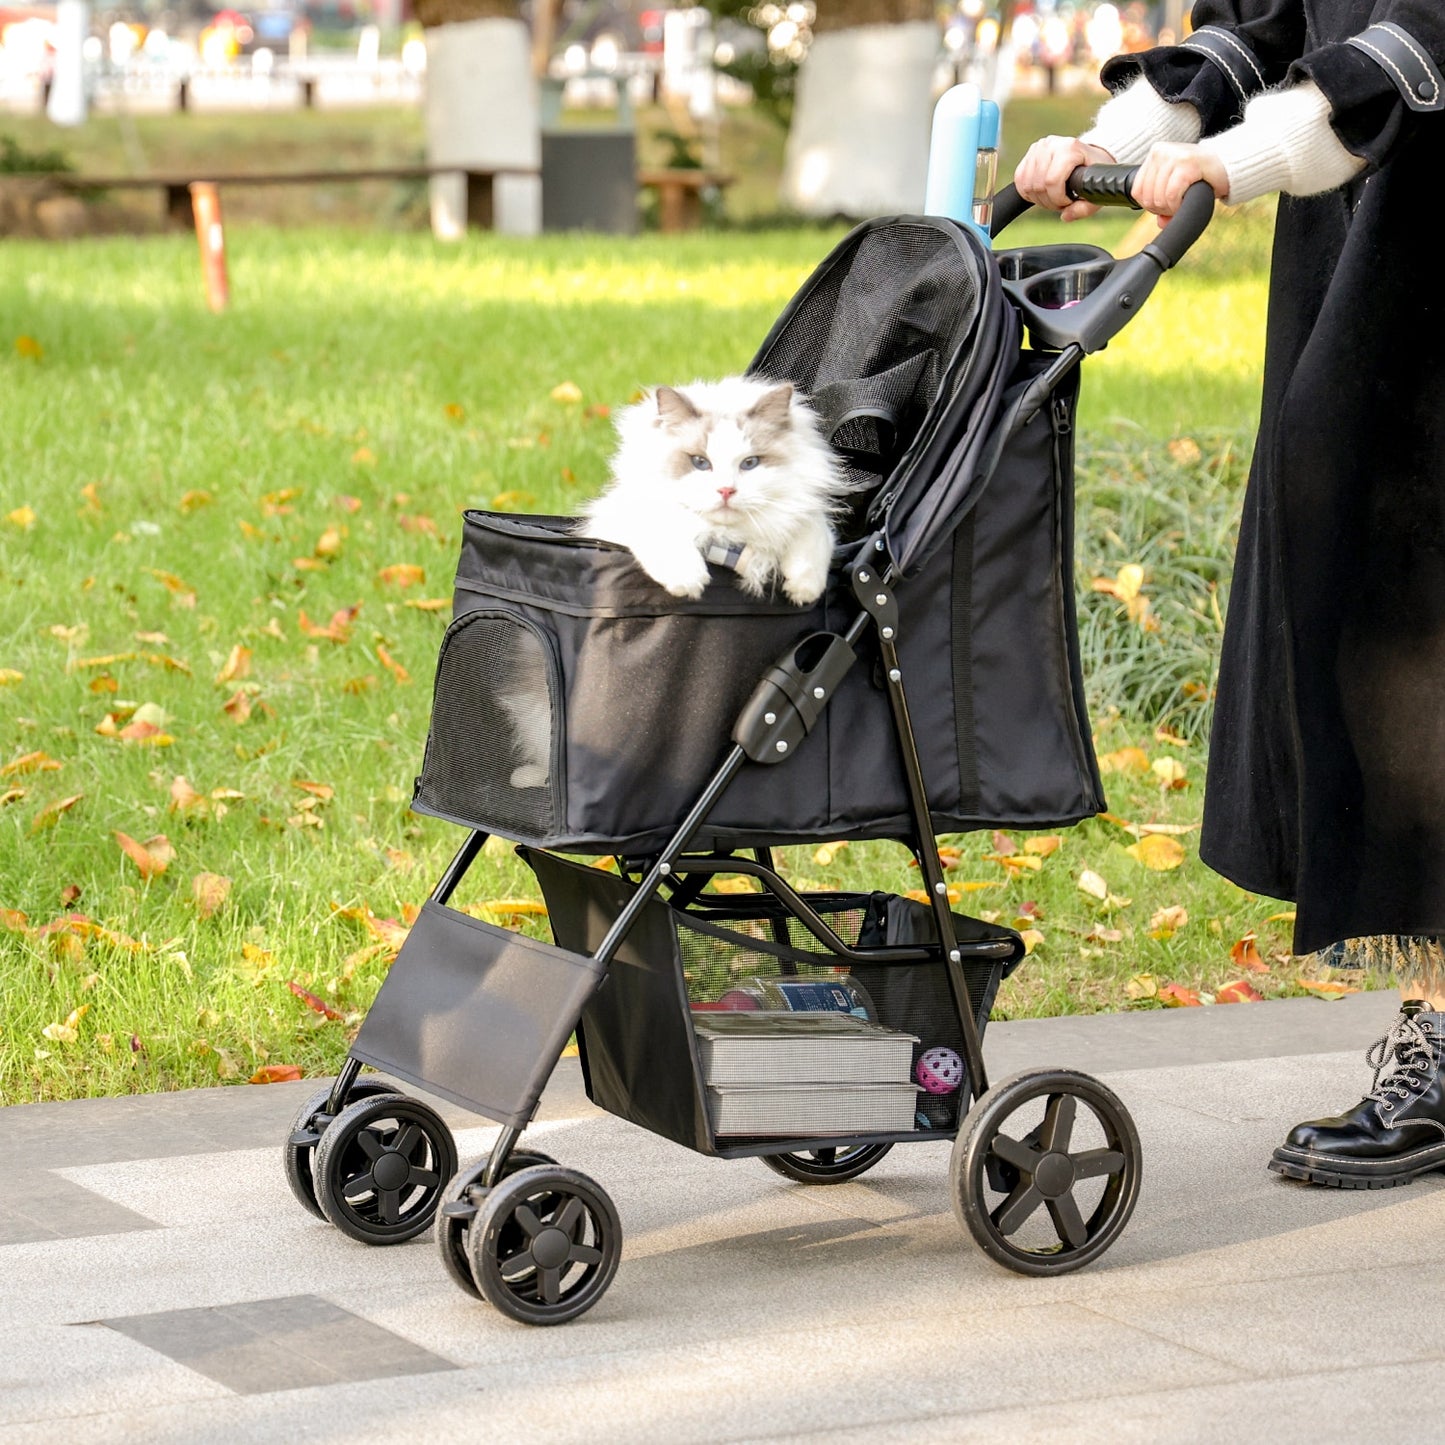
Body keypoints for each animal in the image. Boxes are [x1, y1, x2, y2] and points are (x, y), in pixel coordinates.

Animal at [575, 378, 843, 604]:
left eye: (750, 463)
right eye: (700, 462)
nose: (725, 490)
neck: (727, 540)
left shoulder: (802, 510)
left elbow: (813, 532)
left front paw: (804, 589)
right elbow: (665, 532)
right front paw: (688, 582)